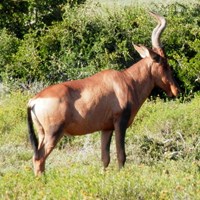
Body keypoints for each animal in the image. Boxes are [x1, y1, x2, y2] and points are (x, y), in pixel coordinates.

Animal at [27, 11, 180, 176]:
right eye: (164, 63)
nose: (176, 90)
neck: (126, 80)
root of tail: (34, 101)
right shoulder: (120, 122)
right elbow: (121, 154)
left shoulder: (106, 128)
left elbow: (105, 157)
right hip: (53, 133)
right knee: (39, 157)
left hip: (42, 133)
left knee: (38, 157)